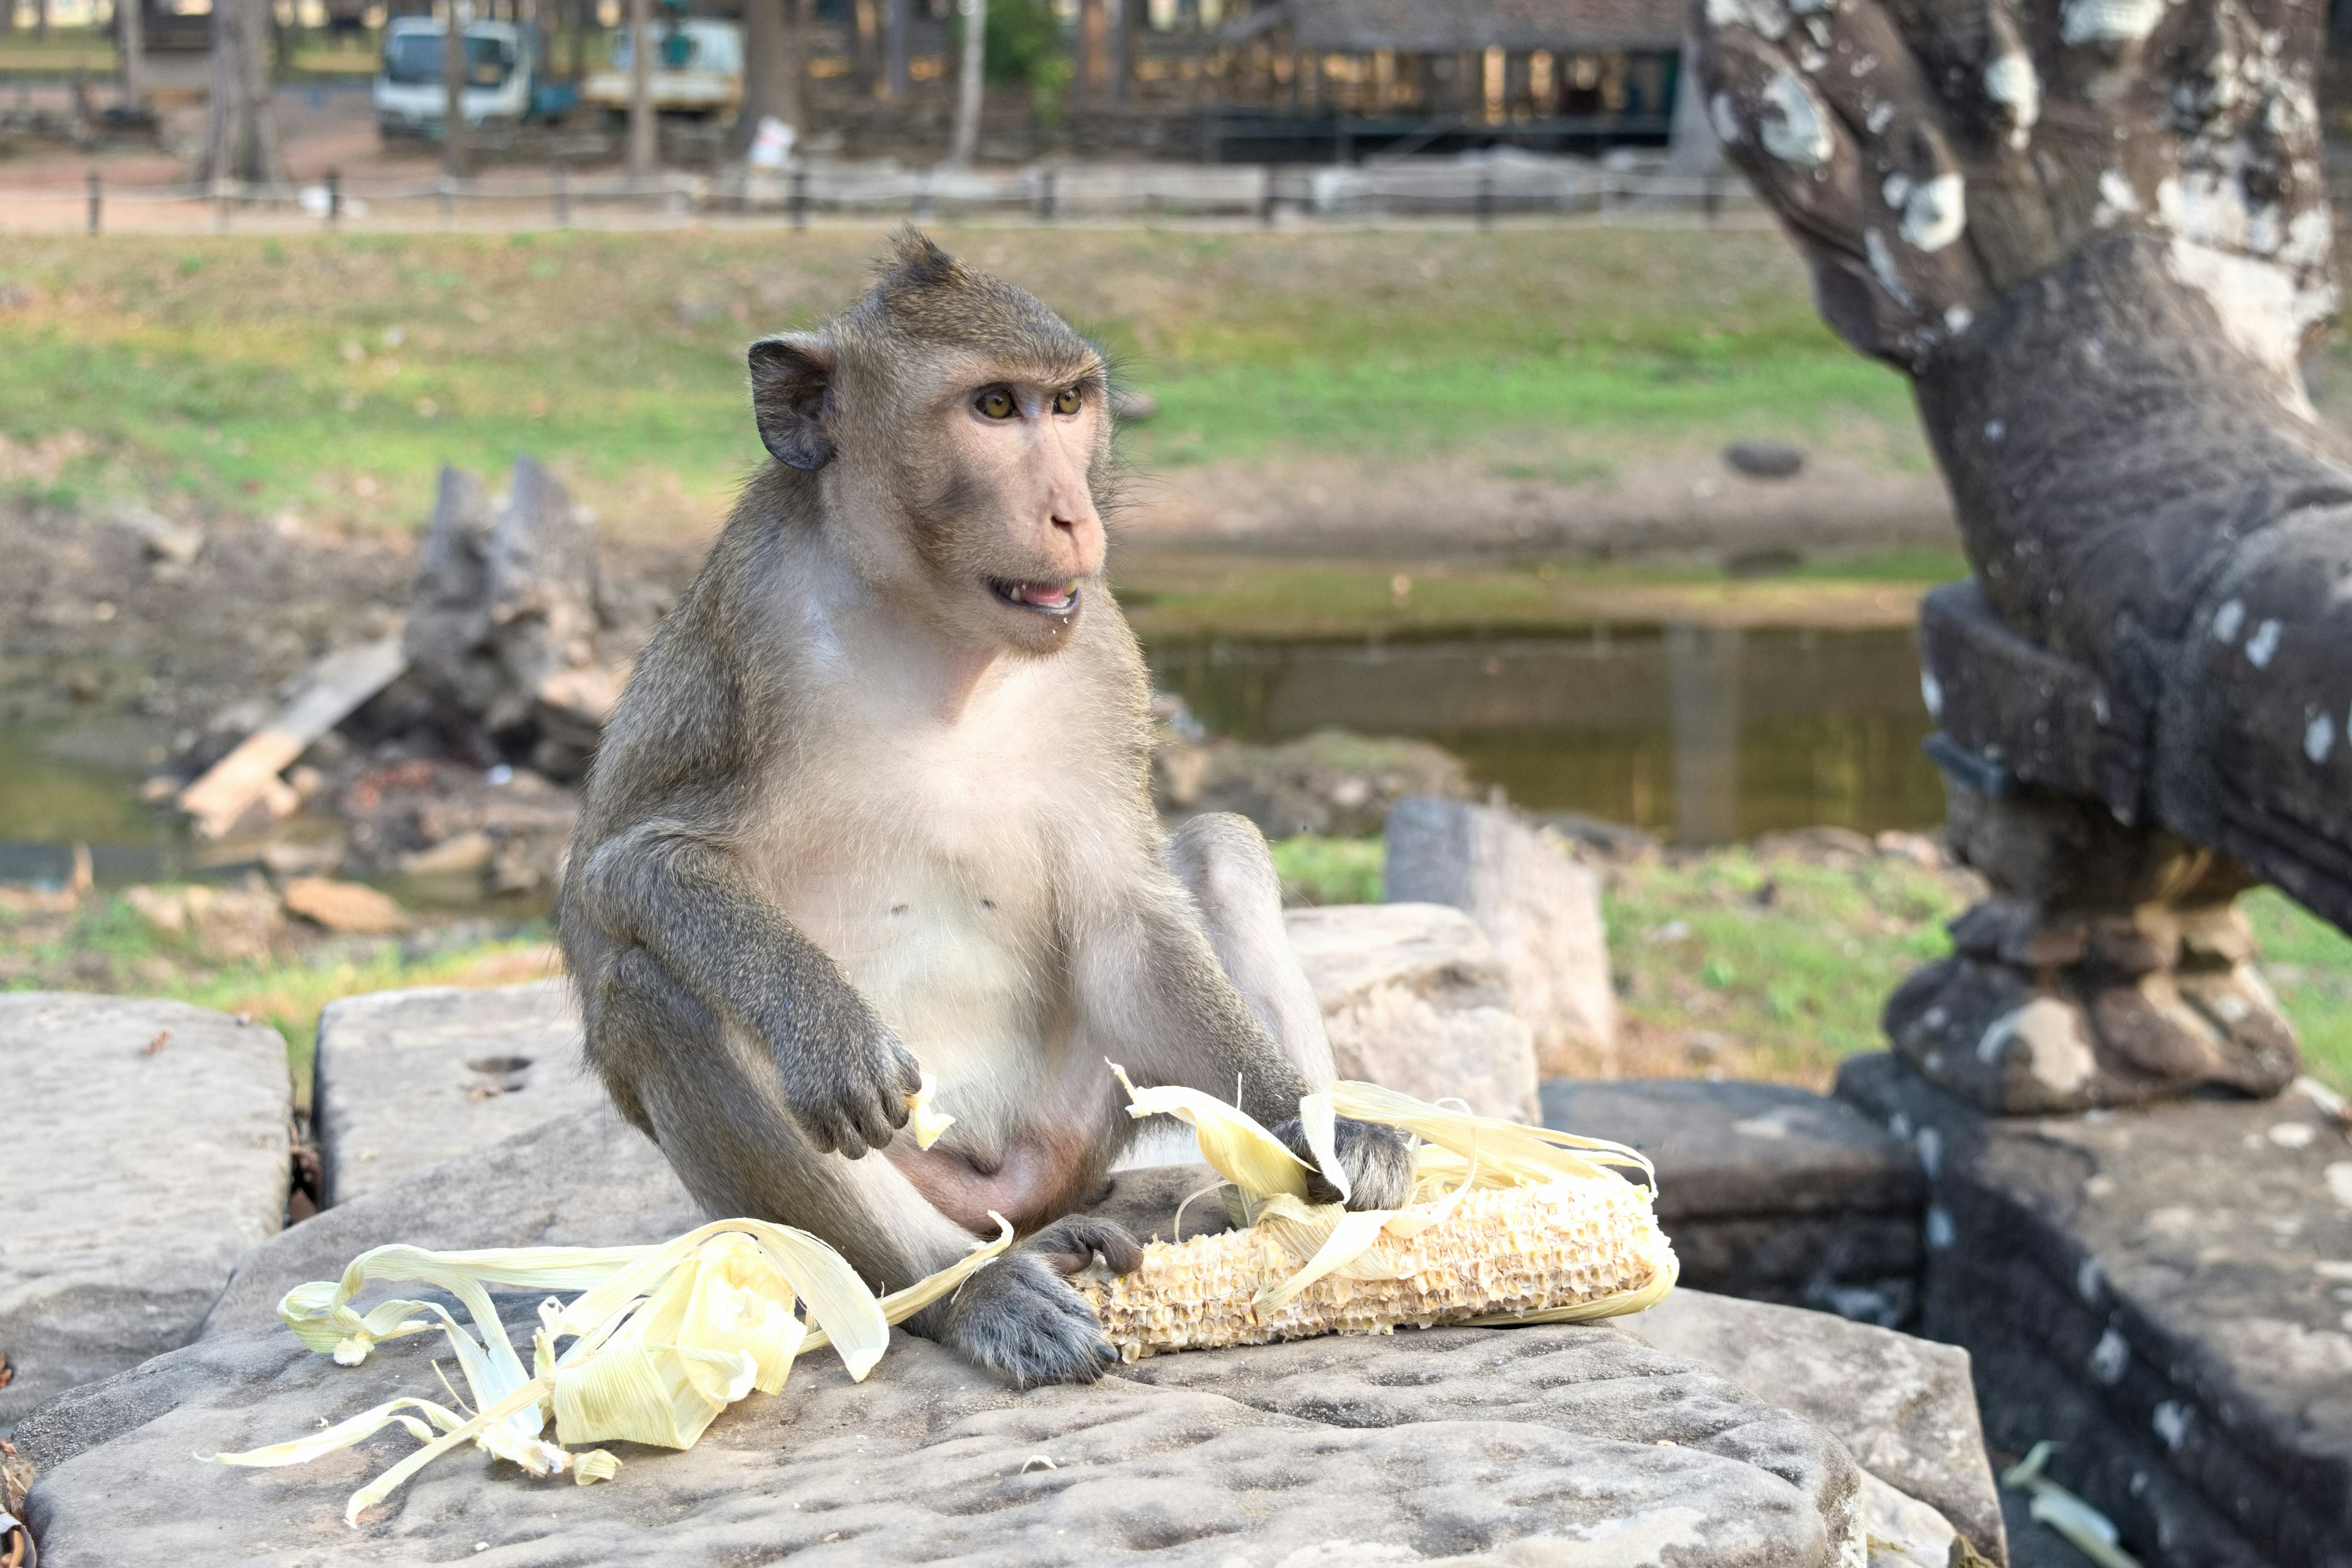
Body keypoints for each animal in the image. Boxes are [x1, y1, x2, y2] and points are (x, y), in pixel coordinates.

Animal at [564, 230, 1411, 1382]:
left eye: (1069, 404)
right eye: (995, 408)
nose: (1072, 514)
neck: (938, 637)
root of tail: (1021, 1192)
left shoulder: (1102, 655)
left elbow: (1125, 920)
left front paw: (1310, 1128)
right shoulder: (743, 633)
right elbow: (623, 869)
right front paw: (825, 1026)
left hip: (1079, 1119)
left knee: (1220, 849)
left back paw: (1258, 1200)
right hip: (927, 1187)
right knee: (653, 988)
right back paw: (973, 1289)